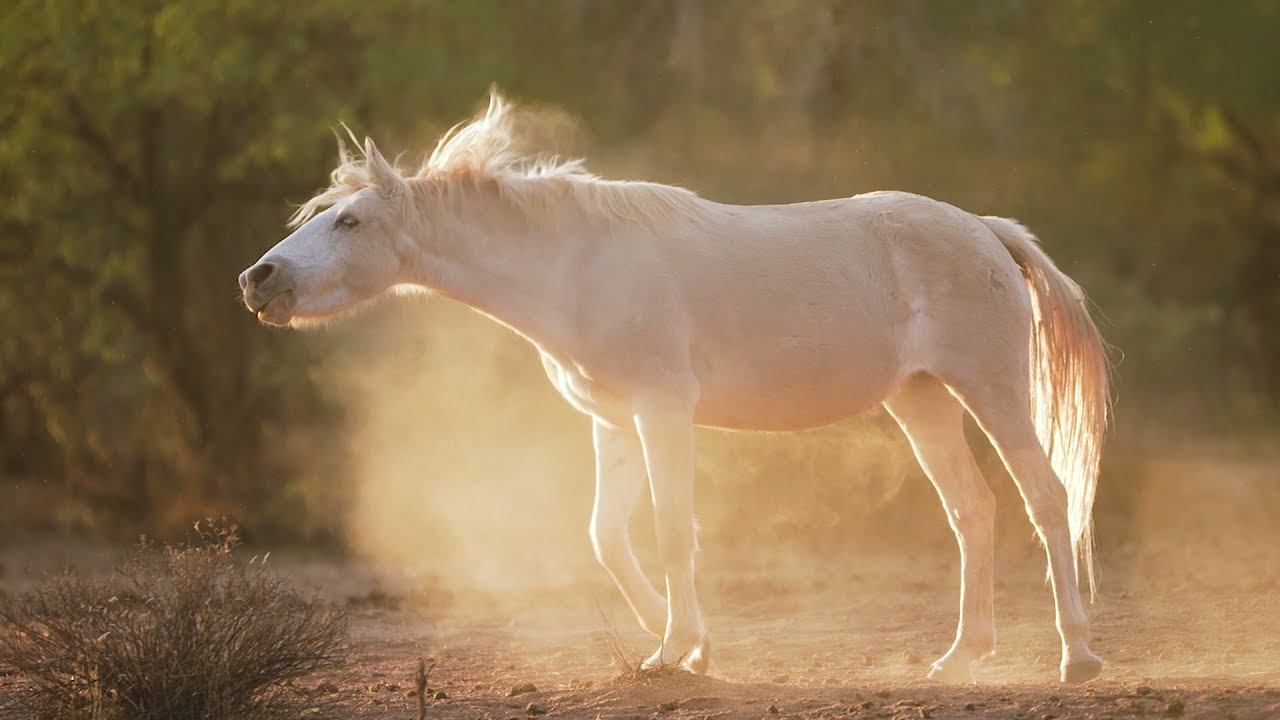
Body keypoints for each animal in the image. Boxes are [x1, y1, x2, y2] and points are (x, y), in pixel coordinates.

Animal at [239, 92, 1110, 684]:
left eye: (350, 222)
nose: (260, 280)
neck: (579, 265)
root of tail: (986, 230)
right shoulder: (615, 423)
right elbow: (608, 537)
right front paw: (686, 647)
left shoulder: (663, 412)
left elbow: (670, 531)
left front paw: (675, 651)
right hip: (921, 401)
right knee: (973, 511)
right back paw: (963, 656)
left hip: (992, 390)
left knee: (1045, 497)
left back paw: (1077, 655)